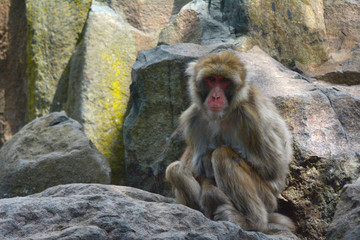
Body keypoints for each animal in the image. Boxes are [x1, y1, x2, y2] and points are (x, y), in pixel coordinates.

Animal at [166, 50, 296, 232]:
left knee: (223, 154)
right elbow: (194, 168)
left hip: (267, 198)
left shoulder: (251, 117)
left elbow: (273, 168)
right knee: (175, 170)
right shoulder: (194, 118)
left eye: (224, 80)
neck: (224, 114)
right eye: (211, 79)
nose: (215, 96)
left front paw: (208, 159)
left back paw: (253, 222)